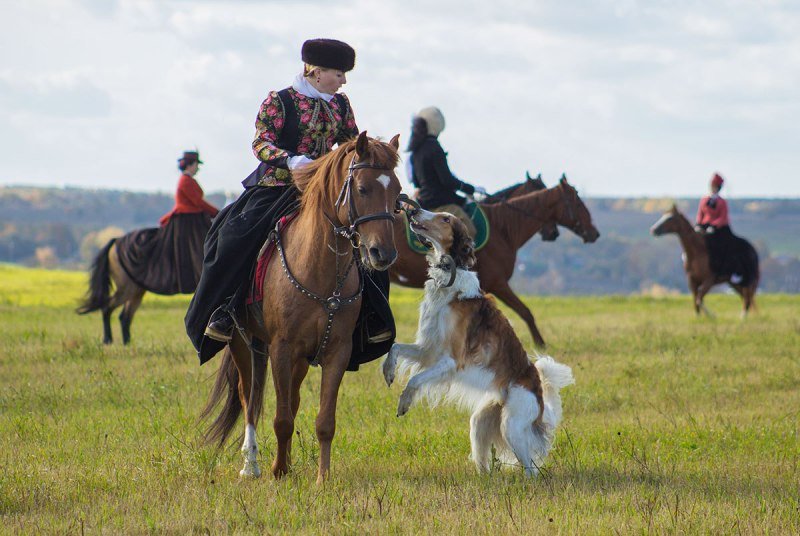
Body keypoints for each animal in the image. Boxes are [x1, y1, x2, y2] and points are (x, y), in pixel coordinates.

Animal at [203, 132, 404, 484]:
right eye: (362, 188)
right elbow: (281, 418)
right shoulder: (281, 347)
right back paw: (251, 464)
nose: (383, 253)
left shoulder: (336, 351)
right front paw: (279, 471)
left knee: (290, 399)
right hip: (245, 342)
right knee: (249, 396)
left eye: (396, 191)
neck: (322, 271)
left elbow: (324, 420)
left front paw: (322, 478)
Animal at [382, 207, 576, 476]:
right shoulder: (428, 350)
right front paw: (388, 371)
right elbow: (394, 347)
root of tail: (538, 390)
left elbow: (414, 380)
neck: (449, 283)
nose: (413, 210)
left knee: (531, 470)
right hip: (481, 420)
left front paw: (404, 403)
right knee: (485, 462)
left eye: (445, 218)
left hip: (512, 425)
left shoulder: (451, 361)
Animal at [390, 176, 596, 348]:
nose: (595, 233)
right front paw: (541, 345)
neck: (502, 228)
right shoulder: (498, 284)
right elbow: (525, 312)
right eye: (577, 201)